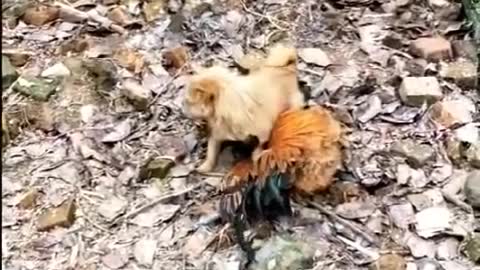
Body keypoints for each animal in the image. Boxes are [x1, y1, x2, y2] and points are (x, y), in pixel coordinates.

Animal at [182, 43, 306, 172]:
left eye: (188, 102)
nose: (182, 107)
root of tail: (286, 68)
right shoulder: (217, 134)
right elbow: (211, 151)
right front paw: (205, 166)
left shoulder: (262, 132)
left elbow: (259, 147)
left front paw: (256, 159)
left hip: (293, 105)